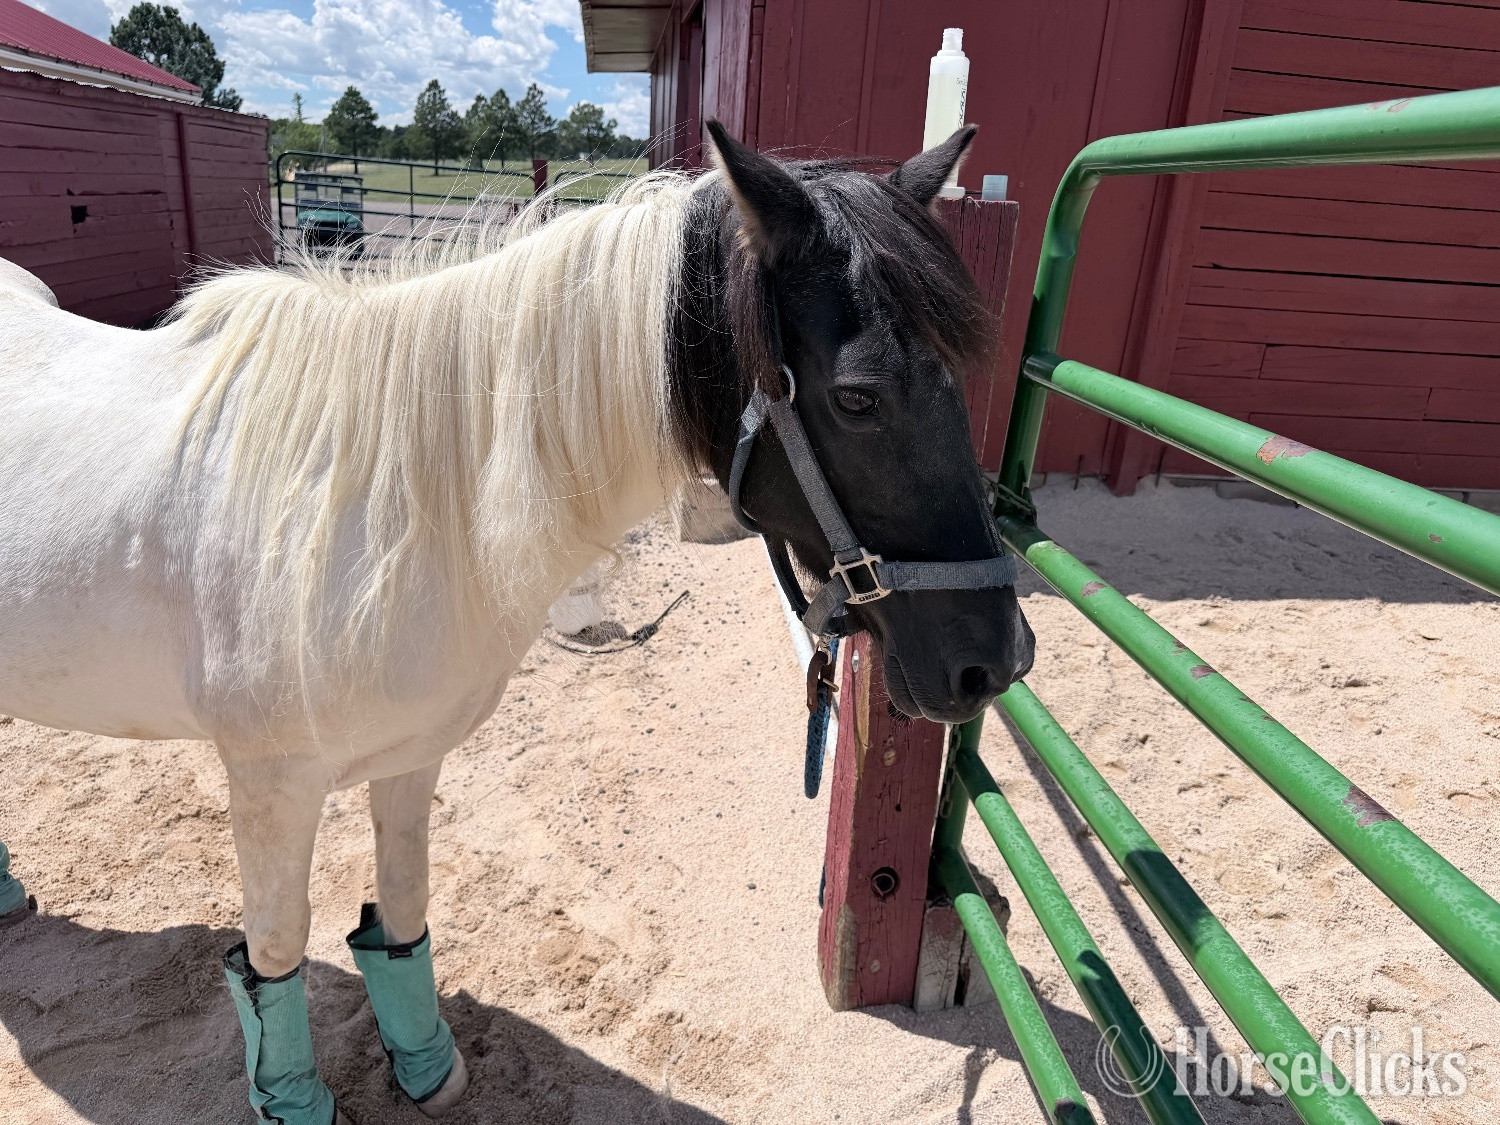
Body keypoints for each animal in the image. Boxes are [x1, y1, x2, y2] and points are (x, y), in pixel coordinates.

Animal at [0, 122, 1035, 1123]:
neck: (377, 497)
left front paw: (425, 1067)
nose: (997, 661)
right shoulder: (270, 783)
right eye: (858, 397)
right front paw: (293, 1101)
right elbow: (275, 953)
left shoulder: (411, 757)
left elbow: (402, 912)